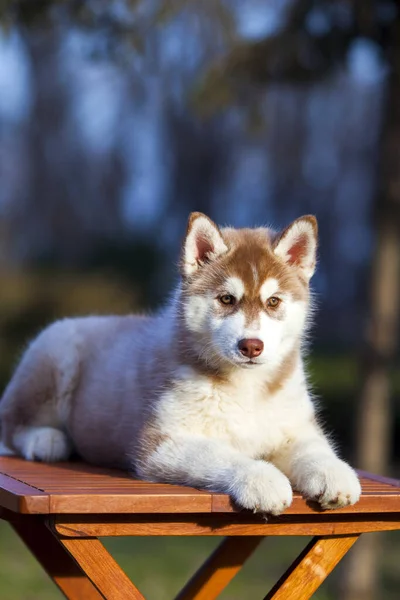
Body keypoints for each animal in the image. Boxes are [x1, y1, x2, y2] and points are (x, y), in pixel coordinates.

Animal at [0, 213, 360, 512]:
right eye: (226, 299)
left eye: (273, 302)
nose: (251, 346)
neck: (246, 387)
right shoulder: (160, 443)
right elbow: (222, 454)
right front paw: (262, 479)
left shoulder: (295, 427)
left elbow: (315, 449)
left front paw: (335, 473)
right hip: (54, 351)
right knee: (13, 424)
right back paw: (47, 440)